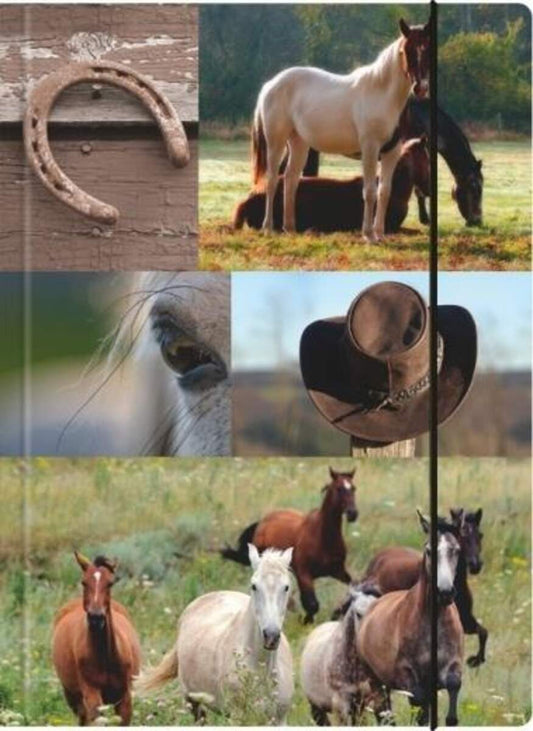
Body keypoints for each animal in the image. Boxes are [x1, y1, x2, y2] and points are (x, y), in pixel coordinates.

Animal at [52, 552, 141, 725]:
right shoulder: (92, 695)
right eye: (84, 582)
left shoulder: (125, 698)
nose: (96, 618)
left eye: (110, 583)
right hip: (73, 696)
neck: (106, 656)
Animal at [135, 547, 294, 724]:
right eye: (254, 586)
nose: (271, 636)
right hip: (193, 702)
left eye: (286, 587)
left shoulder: (280, 719)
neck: (261, 670)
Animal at [221, 467, 357, 623]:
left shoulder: (338, 571)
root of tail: (262, 522)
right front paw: (305, 621)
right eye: (339, 488)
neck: (323, 538)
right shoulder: (304, 574)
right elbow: (312, 604)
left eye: (353, 488)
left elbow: (355, 586)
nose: (353, 513)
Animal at [335, 506, 487, 668]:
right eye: (463, 536)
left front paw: (476, 660)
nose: (475, 565)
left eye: (480, 535)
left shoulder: (466, 621)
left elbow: (483, 632)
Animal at [356, 512, 464, 726]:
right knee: (384, 712)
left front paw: (451, 719)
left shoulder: (451, 665)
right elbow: (419, 706)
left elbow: (453, 684)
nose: (445, 592)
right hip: (375, 680)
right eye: (429, 551)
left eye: (456, 550)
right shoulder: (408, 674)